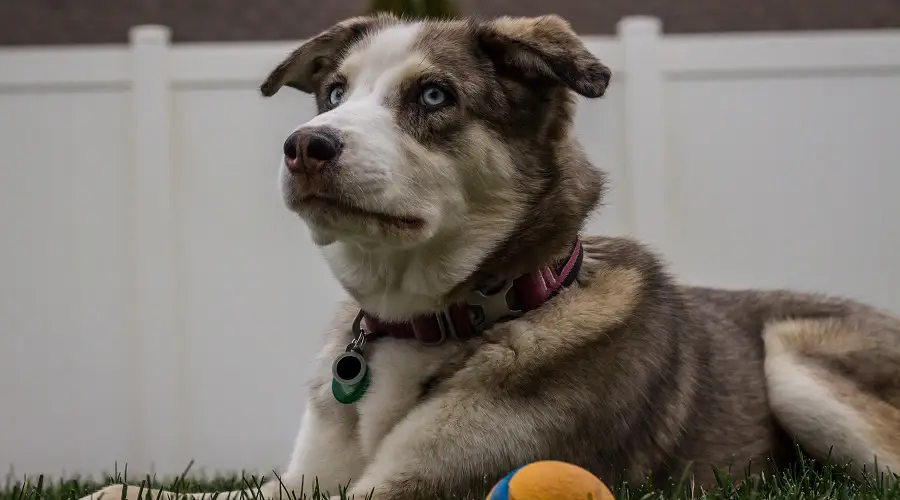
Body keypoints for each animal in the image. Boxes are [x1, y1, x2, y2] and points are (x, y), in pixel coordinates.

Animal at [81, 11, 896, 500]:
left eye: (434, 97)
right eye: (334, 94)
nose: (305, 146)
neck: (425, 319)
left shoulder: (413, 487)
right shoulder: (301, 480)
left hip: (792, 362)